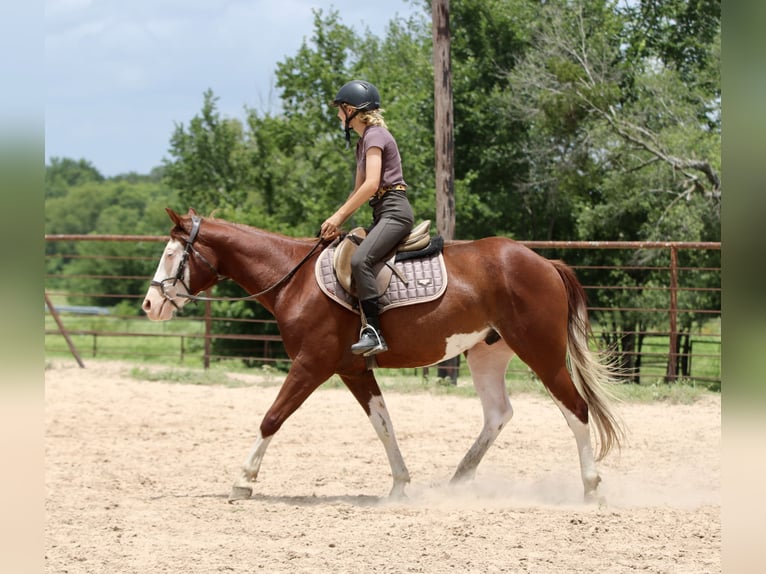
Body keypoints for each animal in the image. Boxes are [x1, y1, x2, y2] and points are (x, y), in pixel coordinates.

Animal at [142, 208, 624, 503]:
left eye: (170, 254)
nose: (149, 304)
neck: (294, 279)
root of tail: (544, 263)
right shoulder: (353, 370)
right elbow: (383, 425)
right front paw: (400, 485)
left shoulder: (311, 365)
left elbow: (272, 418)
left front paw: (242, 481)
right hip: (487, 354)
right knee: (498, 414)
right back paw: (458, 480)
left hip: (542, 354)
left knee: (576, 409)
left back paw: (591, 488)